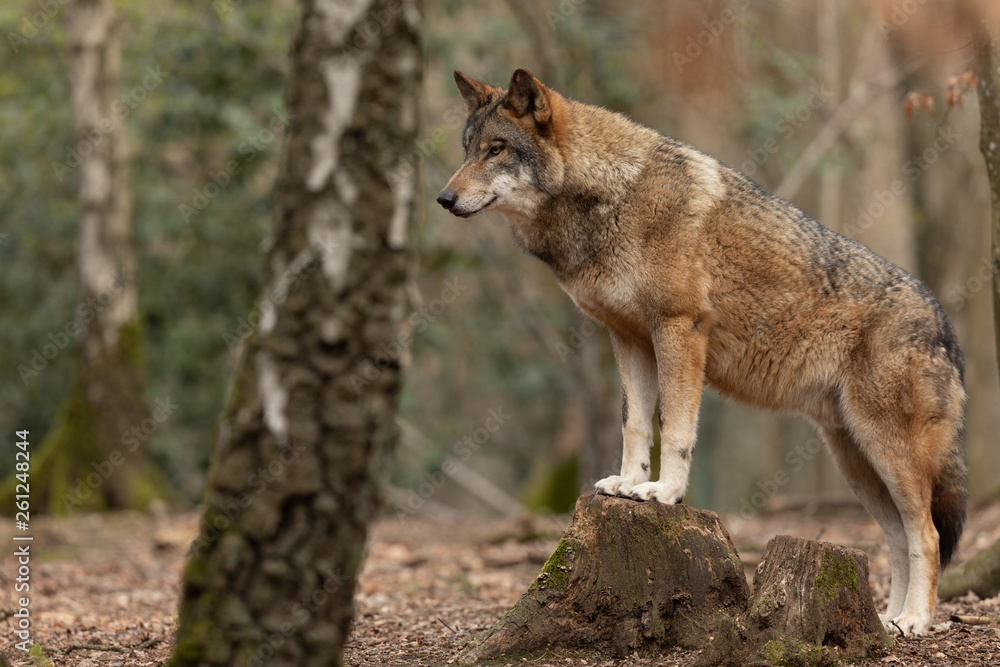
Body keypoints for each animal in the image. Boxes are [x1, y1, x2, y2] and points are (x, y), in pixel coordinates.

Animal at [436, 68, 967, 636]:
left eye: (496, 150)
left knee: (927, 535)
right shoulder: (628, 339)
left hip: (885, 451)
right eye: (467, 149)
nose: (443, 197)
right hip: (856, 462)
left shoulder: (678, 328)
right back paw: (888, 622)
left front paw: (665, 494)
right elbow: (636, 426)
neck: (612, 195)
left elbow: (675, 429)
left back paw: (916, 621)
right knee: (897, 537)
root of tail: (944, 325)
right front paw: (627, 484)